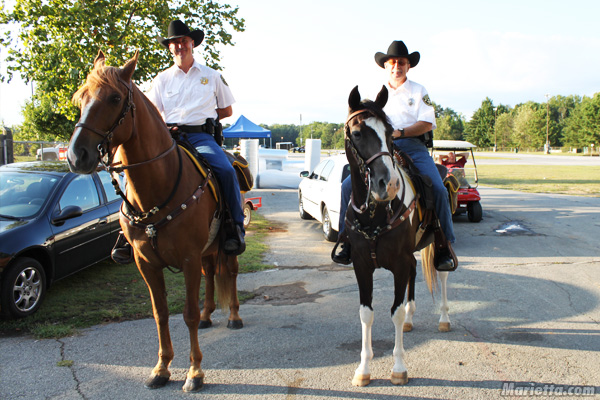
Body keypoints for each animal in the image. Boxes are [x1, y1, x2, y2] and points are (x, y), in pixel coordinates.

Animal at [67, 51, 241, 392]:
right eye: (80, 97)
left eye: (115, 98)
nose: (76, 156)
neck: (157, 187)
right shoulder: (145, 261)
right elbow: (160, 313)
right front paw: (161, 368)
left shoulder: (187, 258)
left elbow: (187, 314)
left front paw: (194, 372)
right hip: (206, 250)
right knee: (212, 272)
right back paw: (209, 314)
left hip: (228, 242)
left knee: (231, 271)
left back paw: (233, 317)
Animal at [342, 85, 450, 388]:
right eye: (357, 133)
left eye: (390, 133)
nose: (387, 185)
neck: (375, 214)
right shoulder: (361, 265)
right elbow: (367, 313)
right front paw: (363, 369)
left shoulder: (399, 264)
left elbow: (396, 311)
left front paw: (399, 367)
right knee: (416, 272)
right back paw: (413, 319)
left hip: (440, 243)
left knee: (442, 273)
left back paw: (444, 317)